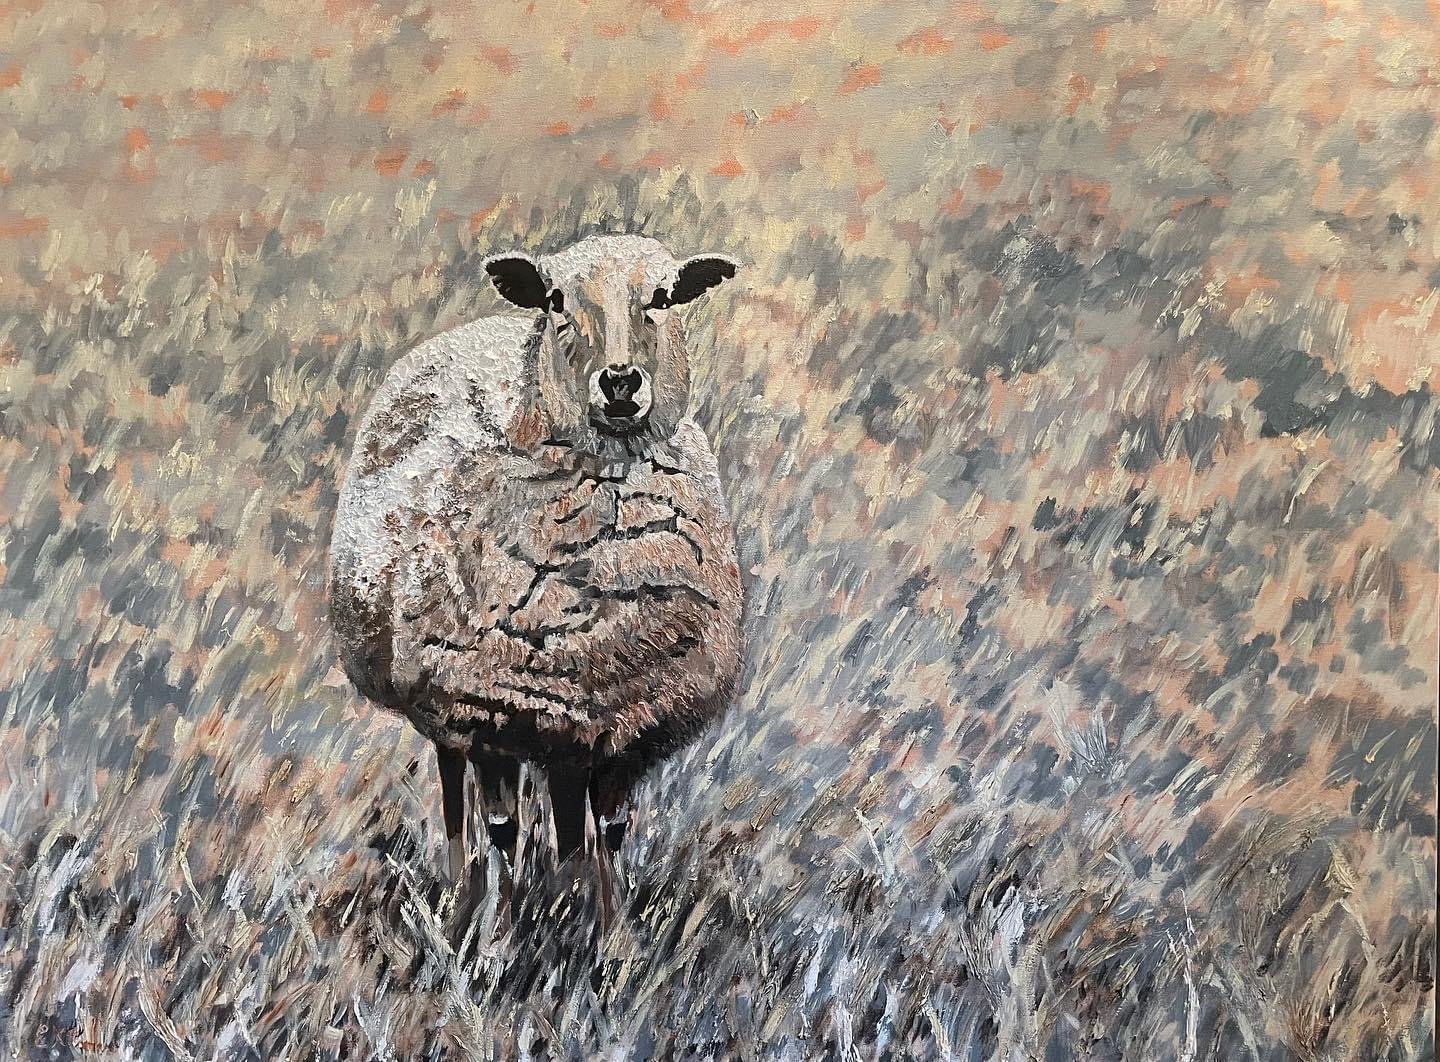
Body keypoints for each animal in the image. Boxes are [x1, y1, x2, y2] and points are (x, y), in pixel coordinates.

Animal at [328, 234, 743, 917]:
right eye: (555, 300)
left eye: (663, 296)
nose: (621, 381)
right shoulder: (504, 715)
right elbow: (521, 832)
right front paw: (524, 924)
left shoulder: (621, 728)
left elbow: (606, 835)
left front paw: (606, 929)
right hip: (447, 703)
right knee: (459, 796)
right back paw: (464, 891)